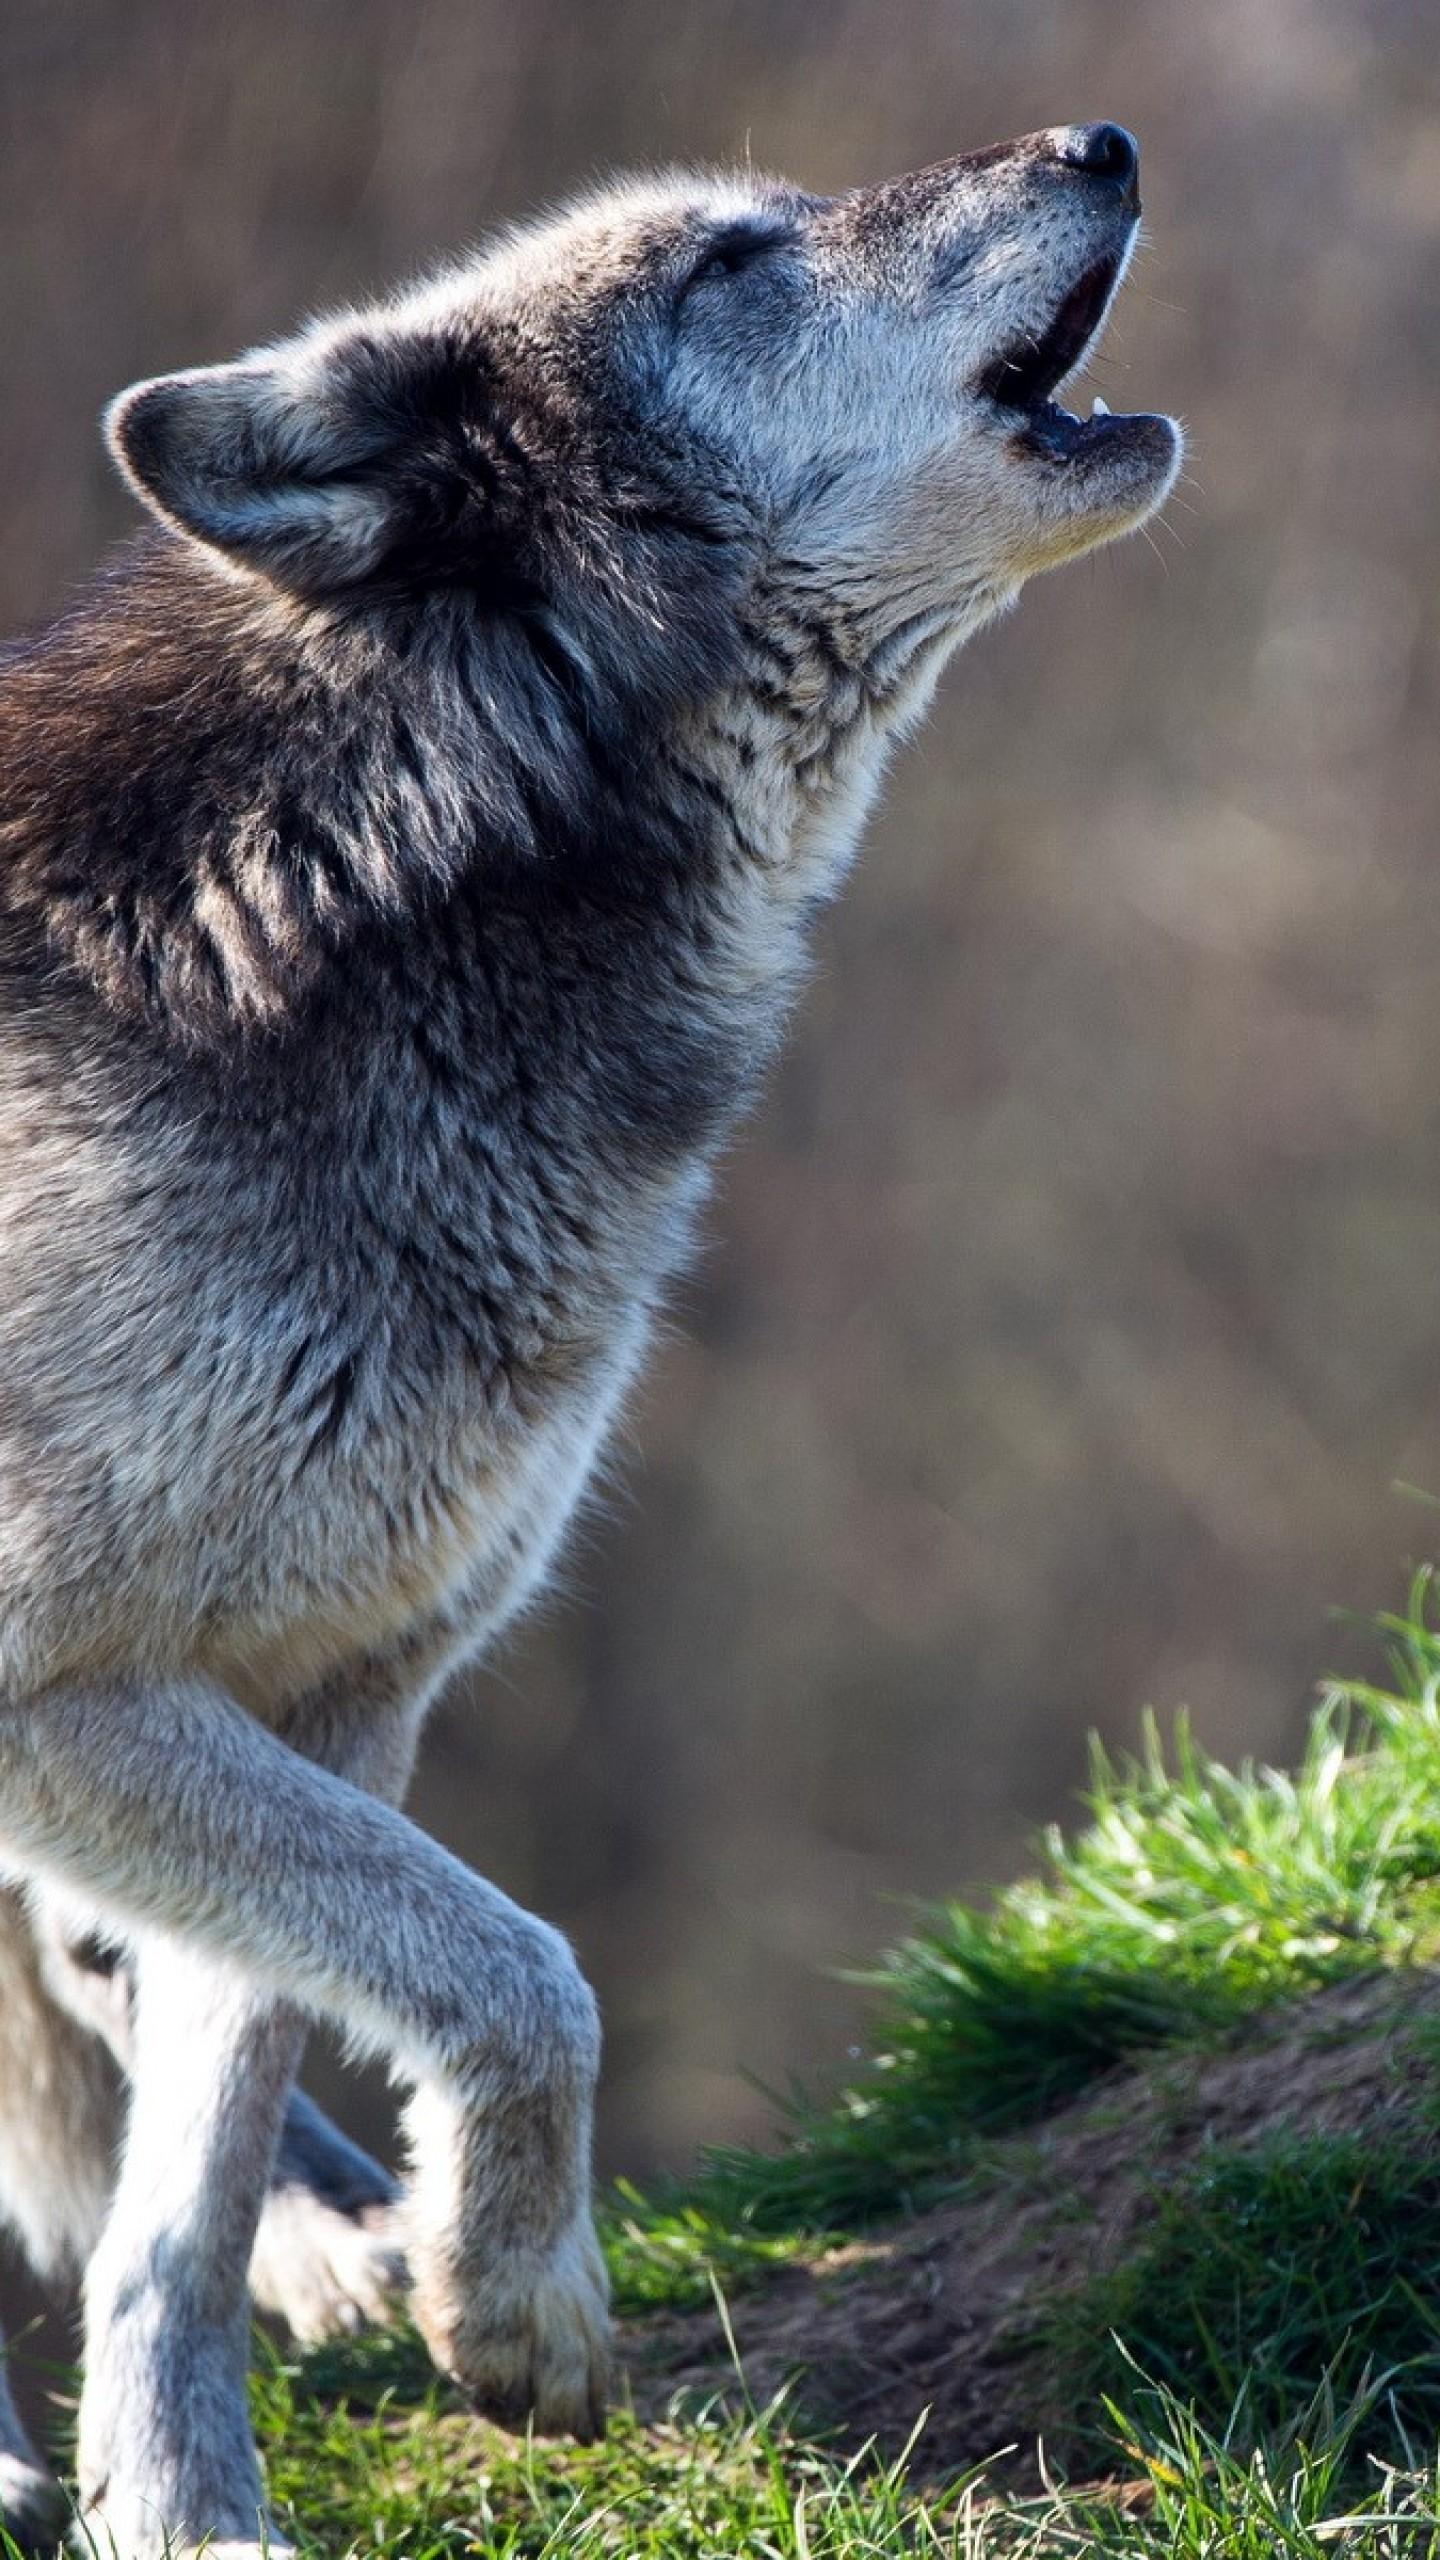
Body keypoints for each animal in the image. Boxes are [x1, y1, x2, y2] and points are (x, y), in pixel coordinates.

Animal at [0, 122, 1178, 2554]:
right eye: (730, 261)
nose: (1097, 139)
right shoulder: (66, 1693)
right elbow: (527, 1968)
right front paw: (517, 2305)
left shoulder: (330, 1689)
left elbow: (204, 2163)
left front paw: (193, 2498)